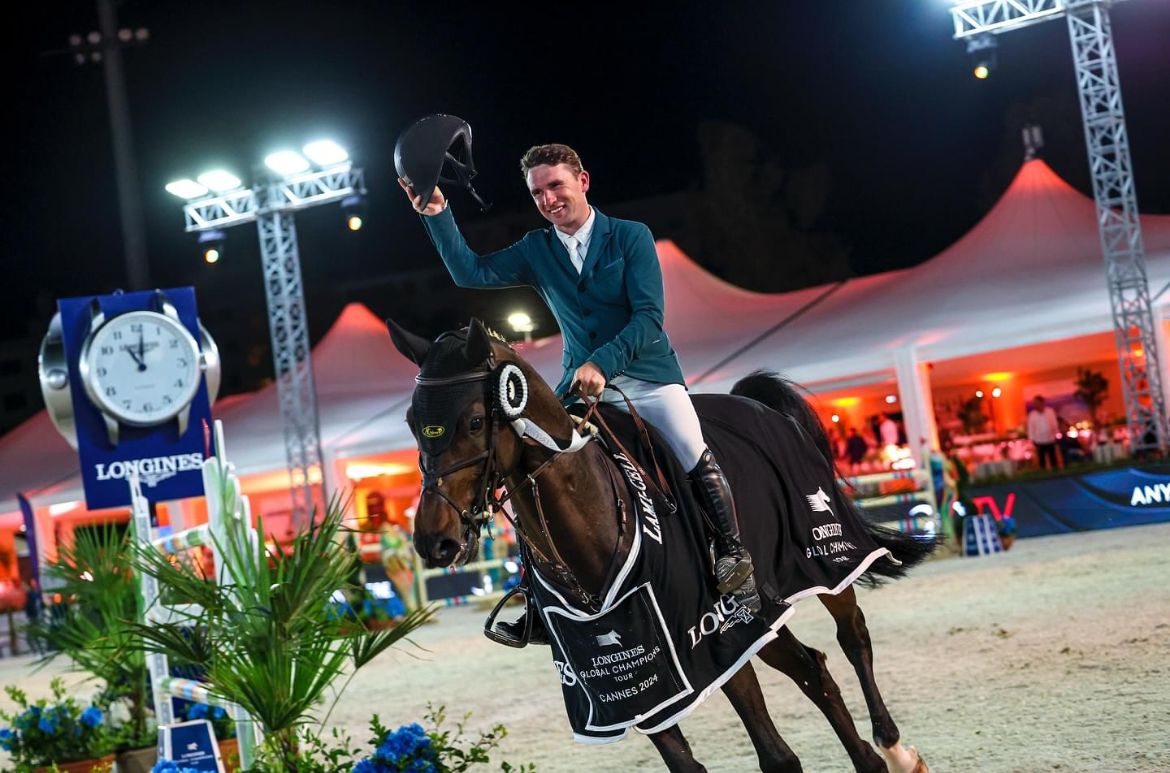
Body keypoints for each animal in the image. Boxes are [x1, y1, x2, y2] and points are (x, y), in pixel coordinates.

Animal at [388, 317, 931, 773]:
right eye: (413, 423)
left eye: (476, 421)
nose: (435, 542)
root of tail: (757, 405)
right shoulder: (630, 682)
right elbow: (686, 763)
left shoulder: (711, 640)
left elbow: (777, 757)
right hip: (761, 613)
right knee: (811, 667)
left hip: (823, 562)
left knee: (852, 635)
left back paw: (895, 750)